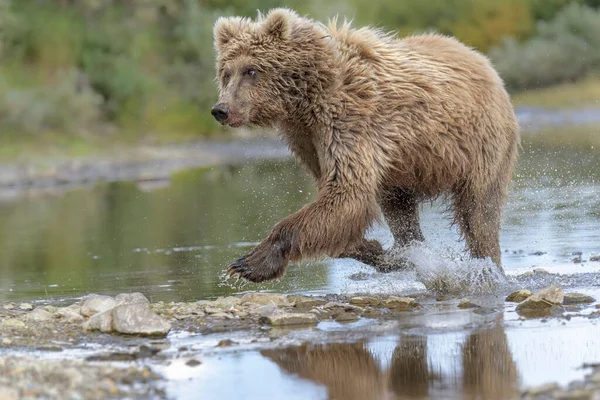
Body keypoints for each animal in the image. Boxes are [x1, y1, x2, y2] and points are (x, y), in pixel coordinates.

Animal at [212, 7, 520, 282]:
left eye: (251, 70)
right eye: (226, 72)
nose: (221, 109)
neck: (308, 97)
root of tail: (482, 61)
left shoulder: (349, 121)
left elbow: (347, 191)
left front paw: (249, 263)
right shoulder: (308, 138)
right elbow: (340, 204)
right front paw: (375, 249)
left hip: (480, 144)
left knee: (478, 211)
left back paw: (487, 264)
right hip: (404, 171)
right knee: (401, 211)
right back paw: (411, 251)